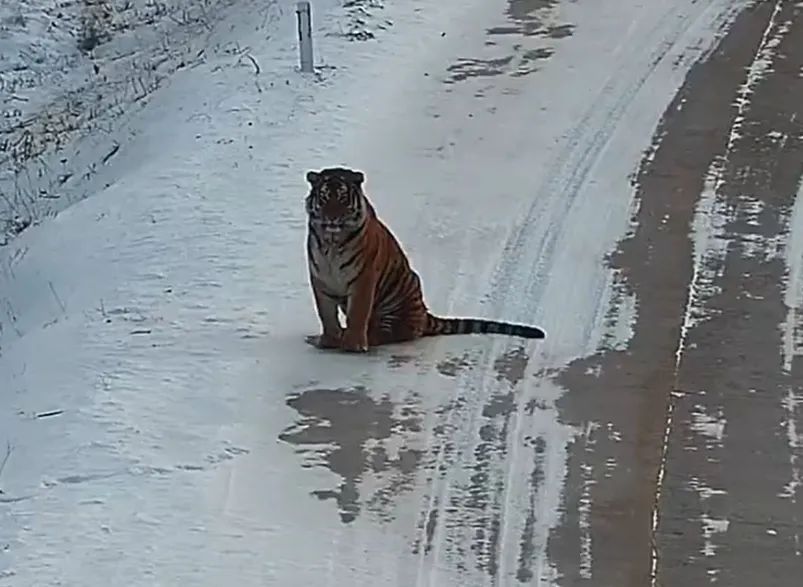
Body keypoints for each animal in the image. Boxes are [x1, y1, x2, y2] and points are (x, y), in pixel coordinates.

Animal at [304, 167, 548, 354]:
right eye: (324, 197)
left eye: (342, 198)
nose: (331, 218)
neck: (332, 242)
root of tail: (424, 313)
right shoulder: (320, 279)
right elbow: (326, 313)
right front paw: (328, 340)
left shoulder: (363, 279)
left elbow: (358, 313)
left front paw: (353, 344)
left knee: (391, 332)